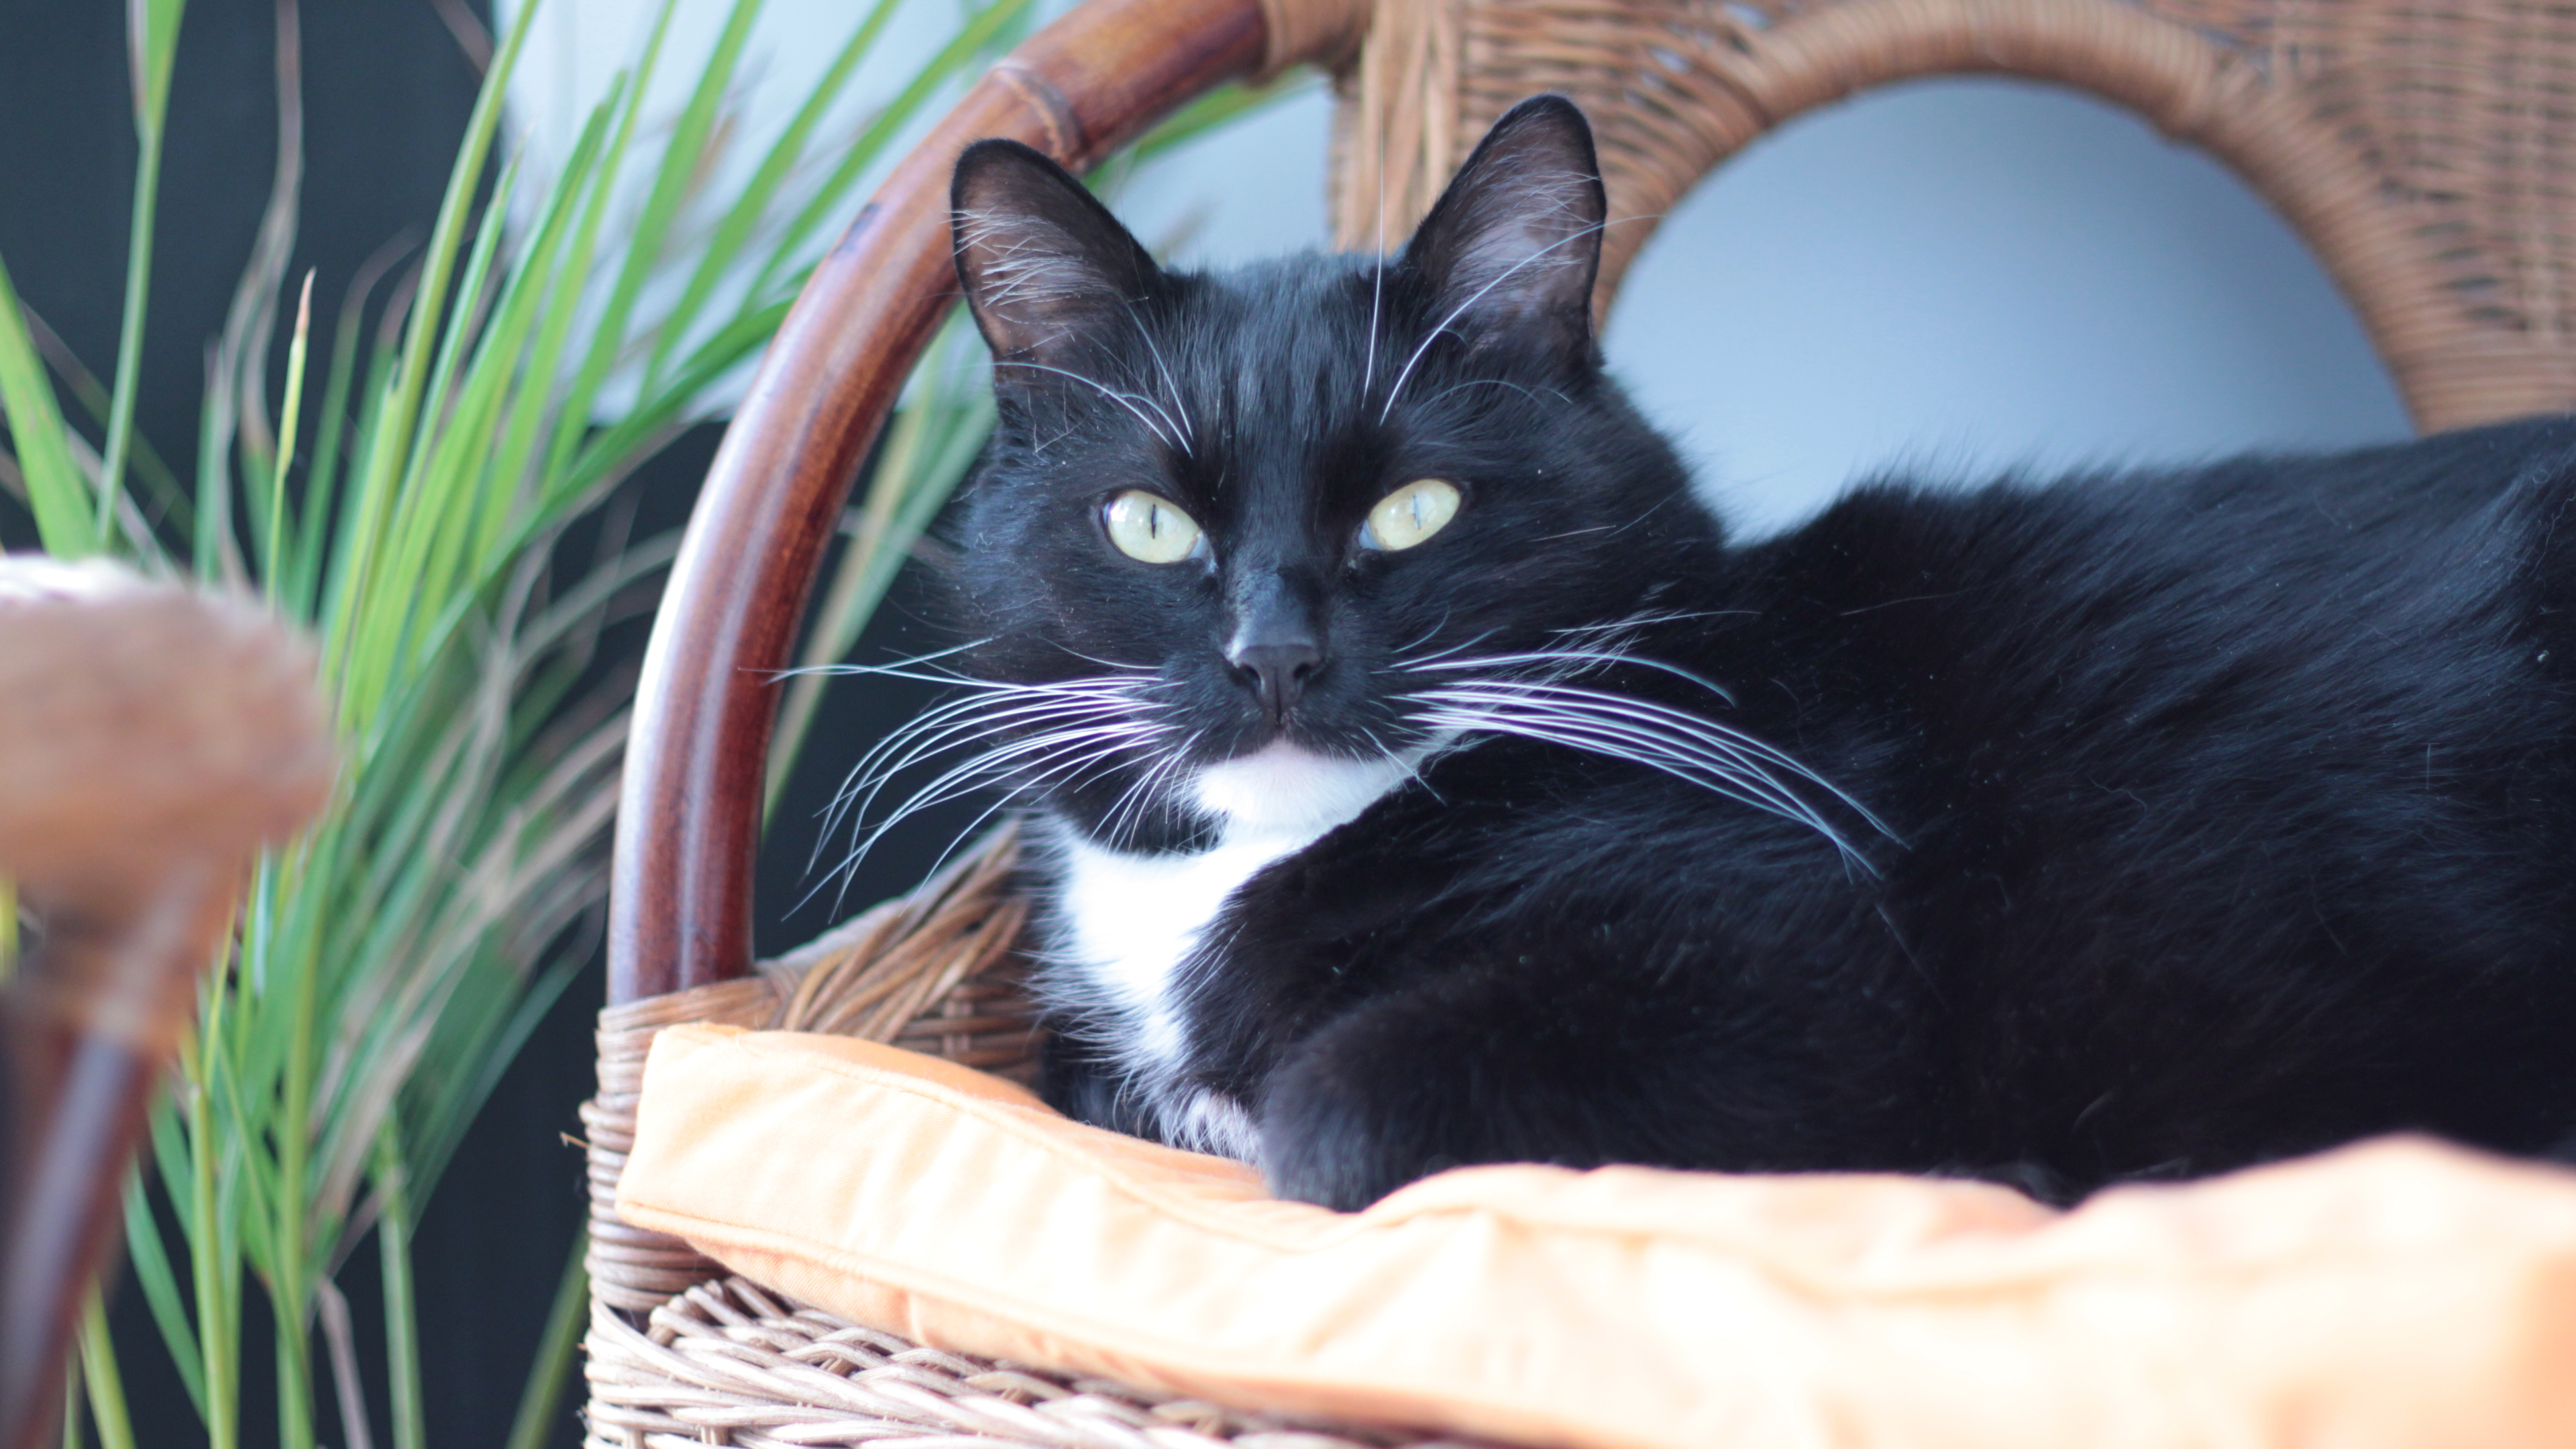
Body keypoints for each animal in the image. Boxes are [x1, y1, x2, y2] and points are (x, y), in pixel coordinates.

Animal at [902, 93, 2576, 1206]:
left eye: (1413, 510)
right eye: (1151, 527)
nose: (1274, 656)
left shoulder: (1795, 976)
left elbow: (1332, 1115)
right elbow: (1098, 1080)